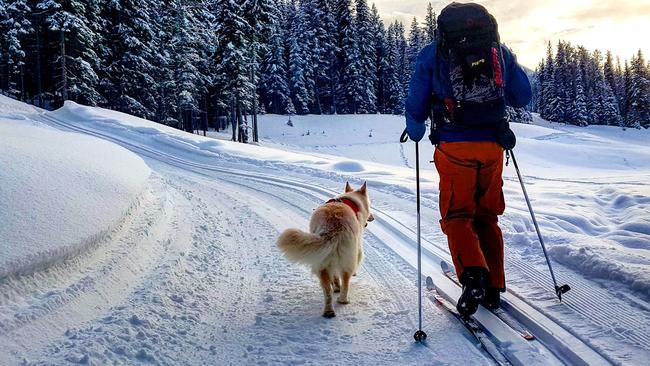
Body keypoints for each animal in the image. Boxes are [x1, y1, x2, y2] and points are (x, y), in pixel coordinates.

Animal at [274, 182, 374, 318]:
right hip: (344, 259)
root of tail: (333, 227)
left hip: (322, 262)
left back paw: (329, 310)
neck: (351, 201)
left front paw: (336, 286)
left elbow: (335, 278)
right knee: (345, 282)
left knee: (327, 291)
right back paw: (343, 301)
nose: (372, 217)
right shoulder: (356, 250)